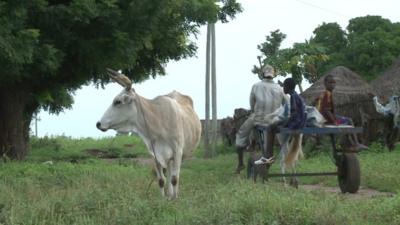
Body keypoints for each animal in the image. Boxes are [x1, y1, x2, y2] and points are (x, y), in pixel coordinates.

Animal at [96, 68, 202, 199]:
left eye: (118, 101)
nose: (99, 124)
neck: (158, 120)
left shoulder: (178, 151)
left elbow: (175, 179)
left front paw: (175, 199)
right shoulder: (154, 154)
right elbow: (161, 180)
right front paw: (163, 199)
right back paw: (169, 194)